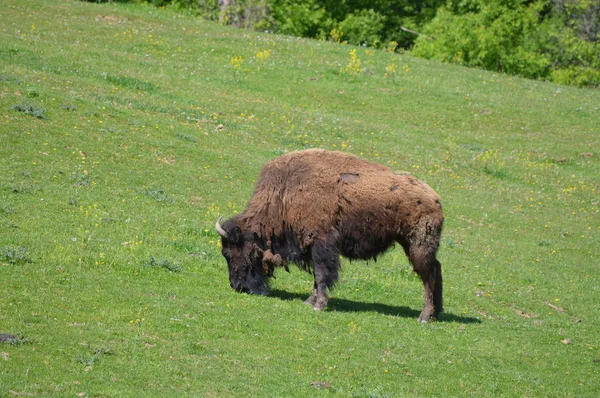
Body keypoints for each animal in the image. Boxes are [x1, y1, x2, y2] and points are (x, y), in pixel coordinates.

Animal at [217, 149, 446, 324]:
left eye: (229, 253)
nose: (236, 286)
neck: (284, 194)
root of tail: (435, 198)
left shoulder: (322, 245)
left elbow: (321, 275)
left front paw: (319, 305)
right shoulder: (312, 246)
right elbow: (317, 278)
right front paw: (310, 301)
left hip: (418, 246)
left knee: (429, 276)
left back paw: (424, 317)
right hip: (411, 245)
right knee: (436, 269)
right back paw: (437, 312)